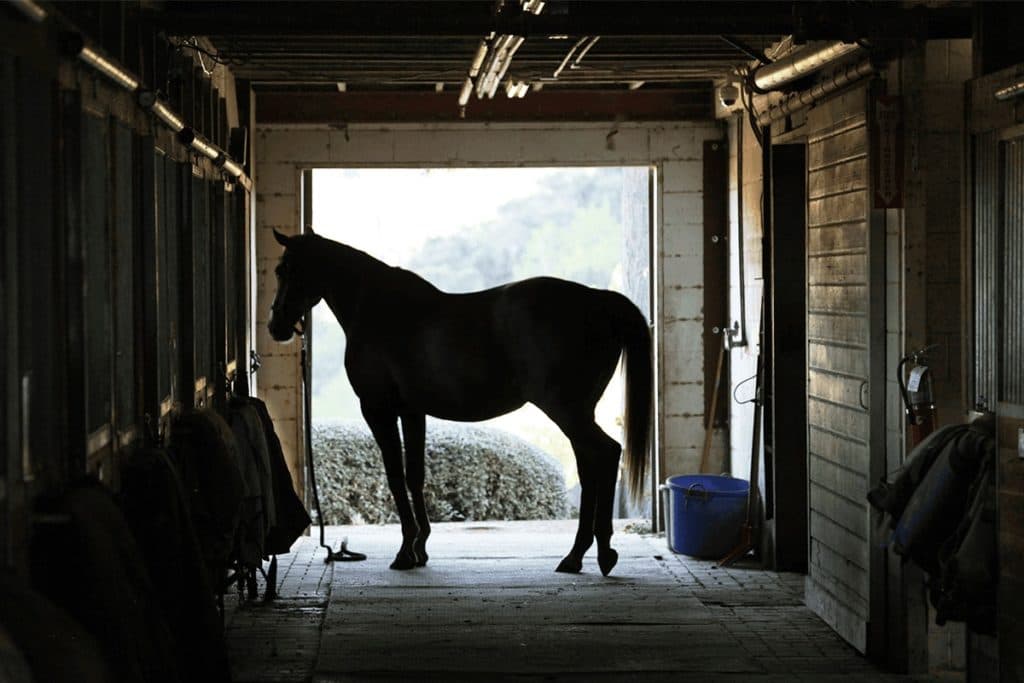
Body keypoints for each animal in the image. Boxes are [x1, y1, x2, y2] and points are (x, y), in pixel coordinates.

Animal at [267, 230, 651, 576]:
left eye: (285, 269)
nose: (275, 326)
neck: (378, 308)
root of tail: (598, 300)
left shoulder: (378, 409)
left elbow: (395, 477)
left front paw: (404, 553)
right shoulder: (412, 411)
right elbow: (414, 475)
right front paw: (420, 548)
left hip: (567, 411)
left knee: (607, 454)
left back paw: (599, 554)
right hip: (579, 412)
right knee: (592, 466)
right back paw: (580, 555)